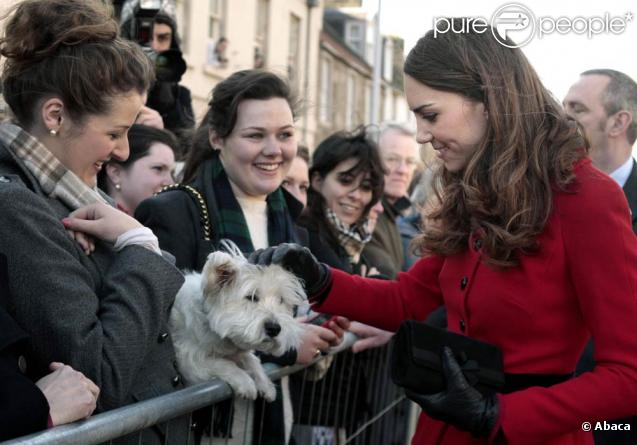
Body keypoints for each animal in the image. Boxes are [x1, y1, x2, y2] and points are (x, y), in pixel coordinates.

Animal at [171, 241, 306, 400]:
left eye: (281, 300)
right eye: (251, 297)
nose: (274, 329)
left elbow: (251, 359)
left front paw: (265, 384)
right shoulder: (188, 361)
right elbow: (221, 363)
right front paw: (245, 382)